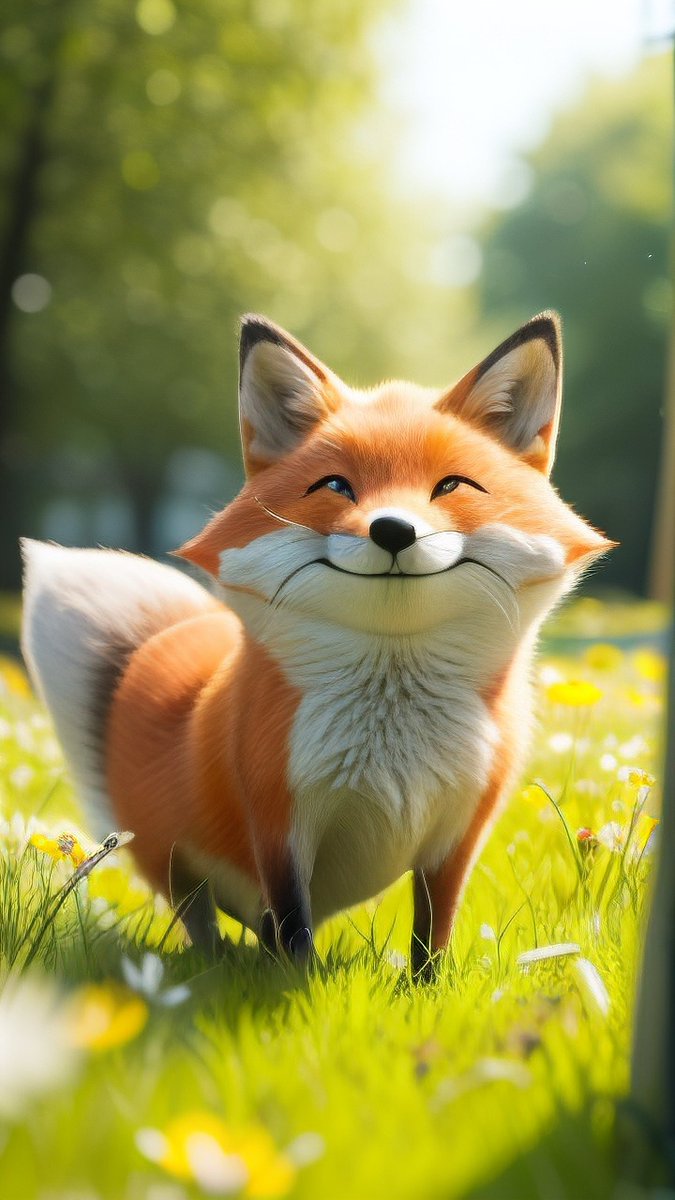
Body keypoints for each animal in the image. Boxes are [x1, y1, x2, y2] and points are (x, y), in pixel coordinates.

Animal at [21, 312, 611, 974]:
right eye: (336, 486)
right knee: (203, 922)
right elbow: (296, 929)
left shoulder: (461, 830)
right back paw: (220, 966)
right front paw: (297, 988)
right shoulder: (279, 822)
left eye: (451, 486)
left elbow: (431, 938)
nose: (393, 529)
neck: (394, 744)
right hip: (174, 865)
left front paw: (419, 987)